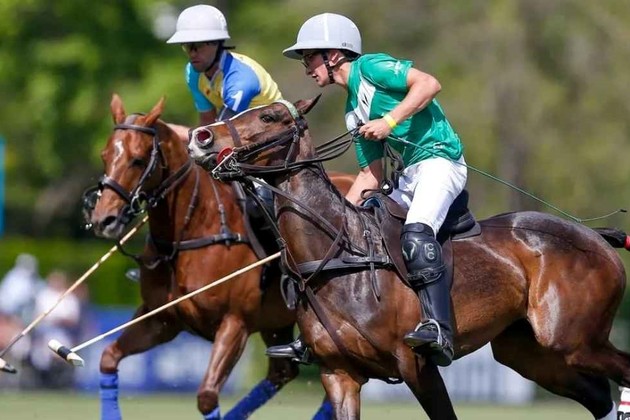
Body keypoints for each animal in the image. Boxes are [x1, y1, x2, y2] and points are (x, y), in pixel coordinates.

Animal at [87, 94, 354, 419]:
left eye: (137, 159)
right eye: (104, 156)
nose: (104, 219)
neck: (190, 232)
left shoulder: (234, 323)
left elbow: (206, 396)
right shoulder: (161, 320)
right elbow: (108, 357)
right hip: (278, 323)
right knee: (284, 373)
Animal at [187, 96, 630, 420]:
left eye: (271, 115)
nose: (200, 137)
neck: (341, 257)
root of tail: (596, 236)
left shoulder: (417, 363)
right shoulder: (338, 374)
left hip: (573, 338)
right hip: (529, 351)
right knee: (597, 397)